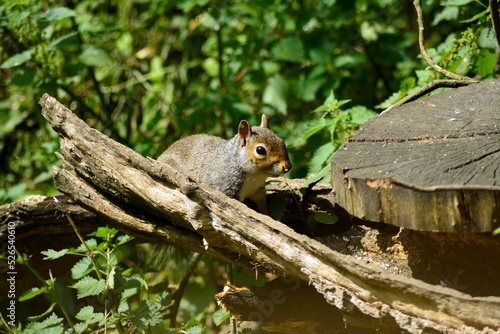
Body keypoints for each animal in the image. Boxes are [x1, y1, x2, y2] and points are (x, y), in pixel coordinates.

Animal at [159, 115, 292, 214]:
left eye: (282, 142)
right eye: (260, 150)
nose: (287, 166)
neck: (255, 175)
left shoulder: (257, 190)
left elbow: (262, 206)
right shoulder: (225, 188)